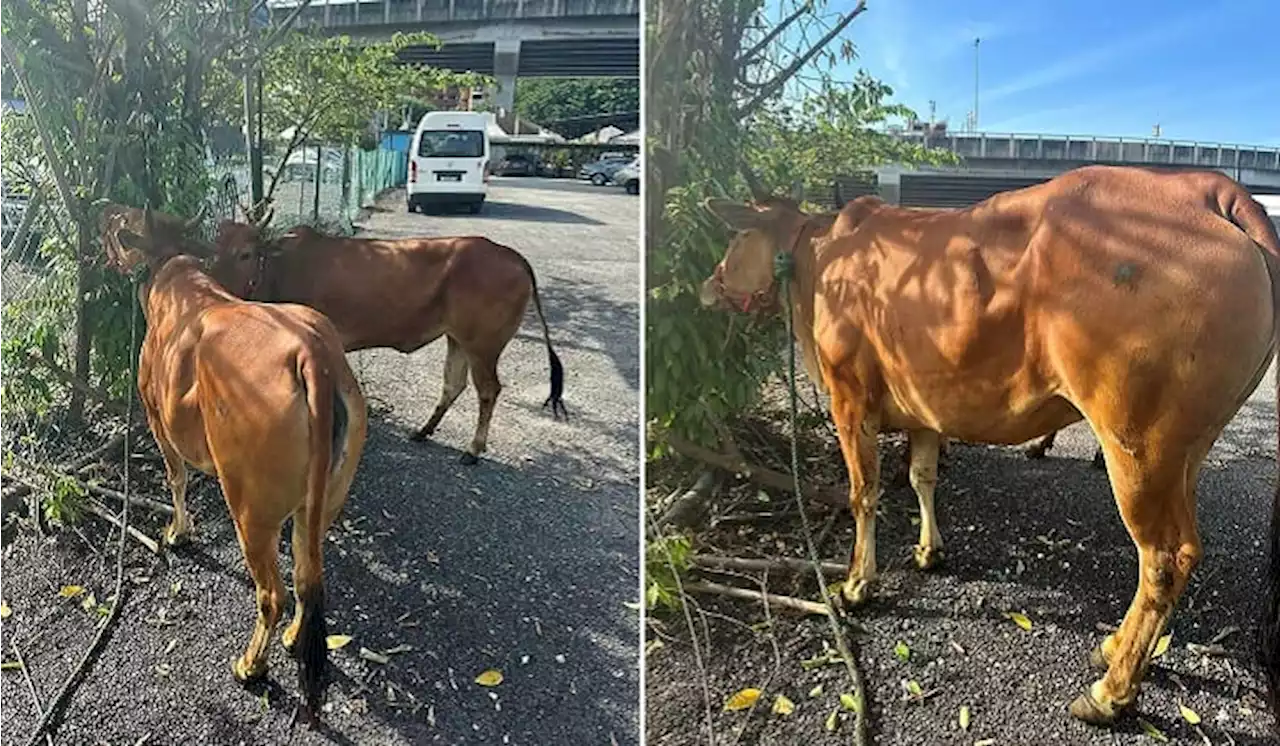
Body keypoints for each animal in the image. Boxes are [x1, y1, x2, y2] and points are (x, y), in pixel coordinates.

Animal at [208, 221, 565, 463]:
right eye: (215, 250)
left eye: (246, 254)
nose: (217, 287)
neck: (282, 268)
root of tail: (512, 256)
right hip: (458, 339)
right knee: (454, 384)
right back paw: (423, 431)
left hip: (483, 345)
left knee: (488, 390)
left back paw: (473, 449)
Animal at [701, 165, 1280, 731]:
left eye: (738, 235)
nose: (709, 285)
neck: (816, 262)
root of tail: (1205, 188)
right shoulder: (925, 403)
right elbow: (922, 476)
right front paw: (929, 551)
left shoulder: (850, 398)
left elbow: (863, 494)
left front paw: (856, 585)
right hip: (1186, 446)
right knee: (1181, 550)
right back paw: (1114, 646)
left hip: (1136, 442)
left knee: (1163, 558)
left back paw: (1110, 693)